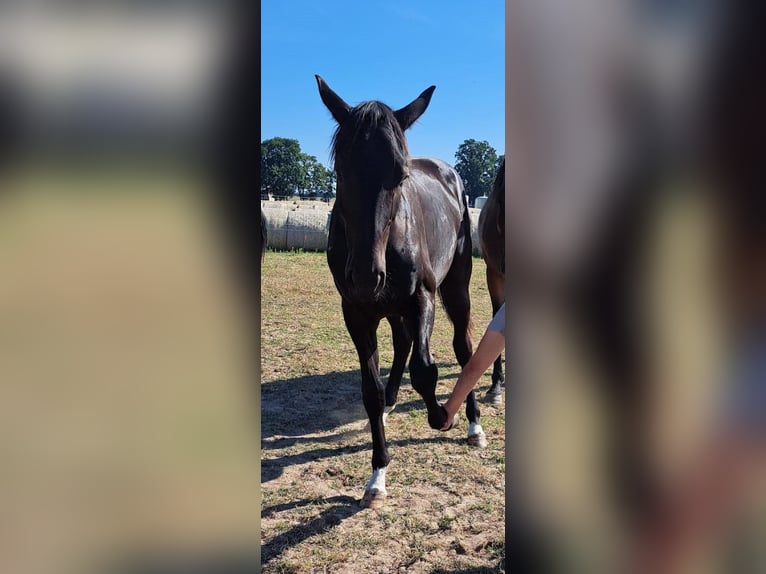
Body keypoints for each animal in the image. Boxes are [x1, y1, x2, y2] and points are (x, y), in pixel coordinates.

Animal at [316, 75, 486, 508]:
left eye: (400, 175)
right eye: (342, 169)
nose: (364, 275)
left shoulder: (421, 298)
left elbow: (425, 371)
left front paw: (443, 415)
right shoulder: (357, 312)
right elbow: (370, 391)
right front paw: (377, 474)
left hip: (455, 289)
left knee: (463, 349)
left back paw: (474, 425)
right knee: (402, 343)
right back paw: (394, 402)